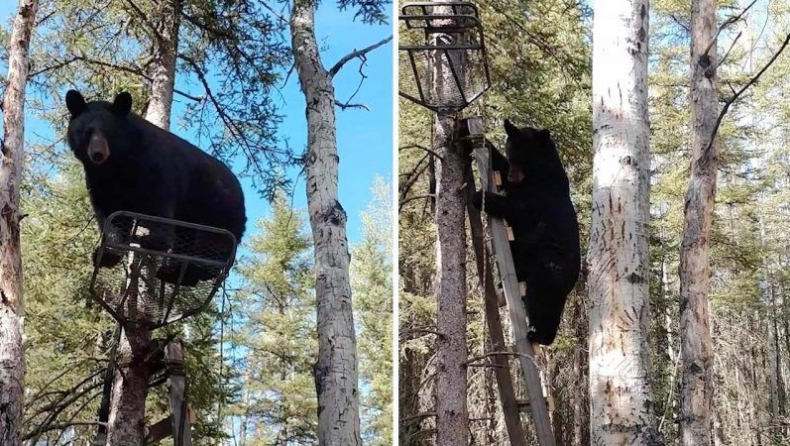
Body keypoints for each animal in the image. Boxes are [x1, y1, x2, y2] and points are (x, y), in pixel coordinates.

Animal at [65, 89, 248, 286]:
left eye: (109, 132)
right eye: (87, 132)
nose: (98, 154)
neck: (118, 164)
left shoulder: (156, 168)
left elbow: (159, 208)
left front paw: (151, 240)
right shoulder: (99, 180)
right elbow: (111, 214)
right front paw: (108, 253)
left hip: (216, 210)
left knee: (210, 245)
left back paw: (191, 270)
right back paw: (174, 271)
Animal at [476, 118, 580, 344]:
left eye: (521, 157)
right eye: (510, 153)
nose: (513, 177)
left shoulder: (543, 193)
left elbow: (519, 209)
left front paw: (481, 195)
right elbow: (500, 168)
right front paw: (481, 140)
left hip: (548, 266)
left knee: (541, 300)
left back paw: (539, 334)